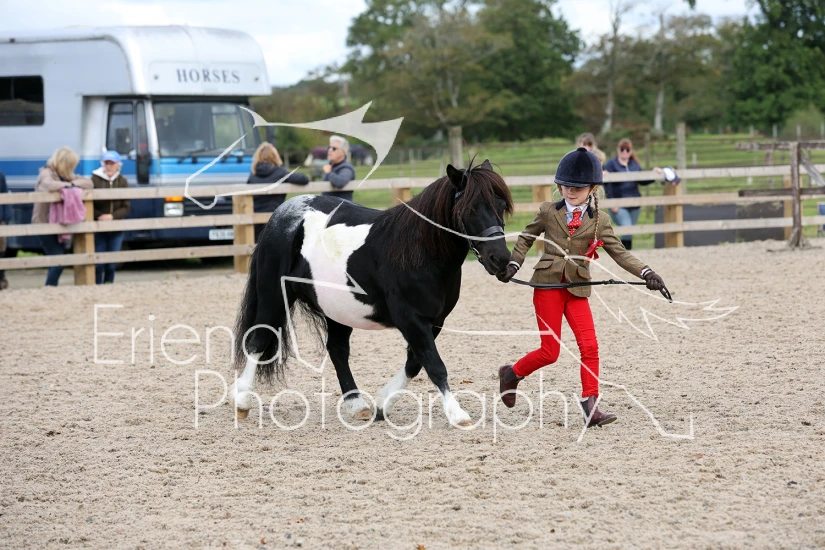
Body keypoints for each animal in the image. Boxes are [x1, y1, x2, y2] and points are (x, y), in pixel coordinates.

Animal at [228, 159, 514, 427]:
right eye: (469, 209)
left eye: (501, 205)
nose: (500, 259)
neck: (418, 252)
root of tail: (285, 212)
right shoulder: (412, 320)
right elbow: (434, 365)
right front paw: (457, 414)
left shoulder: (434, 321)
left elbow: (415, 362)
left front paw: (382, 402)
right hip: (274, 296)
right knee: (258, 340)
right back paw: (241, 402)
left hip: (337, 309)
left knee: (338, 350)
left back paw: (357, 405)